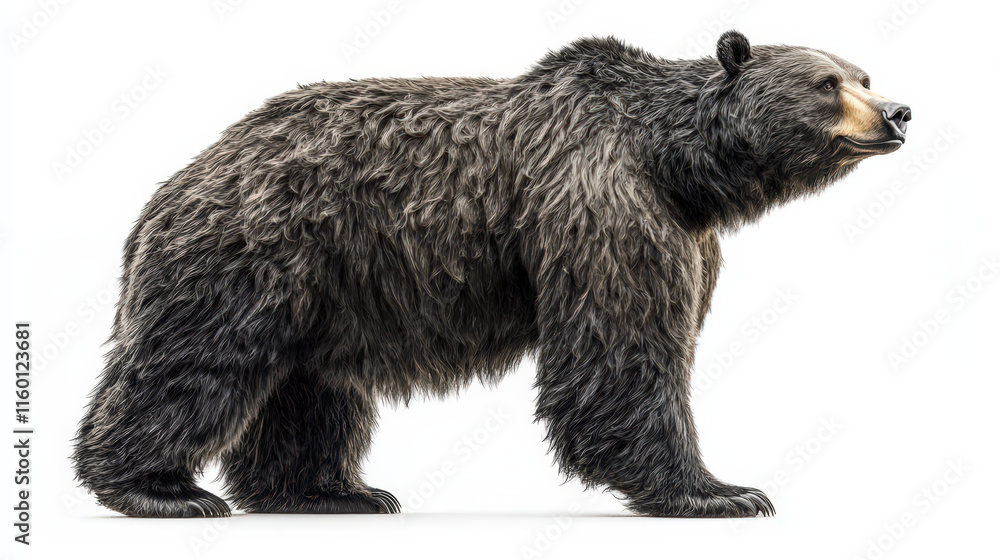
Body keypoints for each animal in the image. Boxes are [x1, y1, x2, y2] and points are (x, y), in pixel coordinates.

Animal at [73, 30, 910, 518]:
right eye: (827, 83)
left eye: (864, 73)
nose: (897, 111)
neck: (682, 170)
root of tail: (175, 183)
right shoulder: (601, 201)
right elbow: (621, 349)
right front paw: (721, 490)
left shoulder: (686, 232)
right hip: (249, 256)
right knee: (190, 365)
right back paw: (157, 489)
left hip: (328, 285)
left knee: (313, 389)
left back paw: (331, 490)